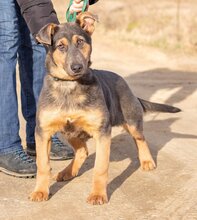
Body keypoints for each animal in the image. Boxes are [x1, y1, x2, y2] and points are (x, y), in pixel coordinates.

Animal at [28, 11, 181, 205]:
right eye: (61, 46)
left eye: (80, 42)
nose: (77, 67)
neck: (70, 86)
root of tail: (128, 86)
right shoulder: (43, 132)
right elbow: (42, 165)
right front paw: (40, 191)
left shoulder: (102, 132)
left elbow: (100, 168)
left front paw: (98, 194)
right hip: (68, 131)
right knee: (83, 151)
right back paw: (68, 172)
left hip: (131, 120)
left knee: (140, 139)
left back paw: (147, 161)